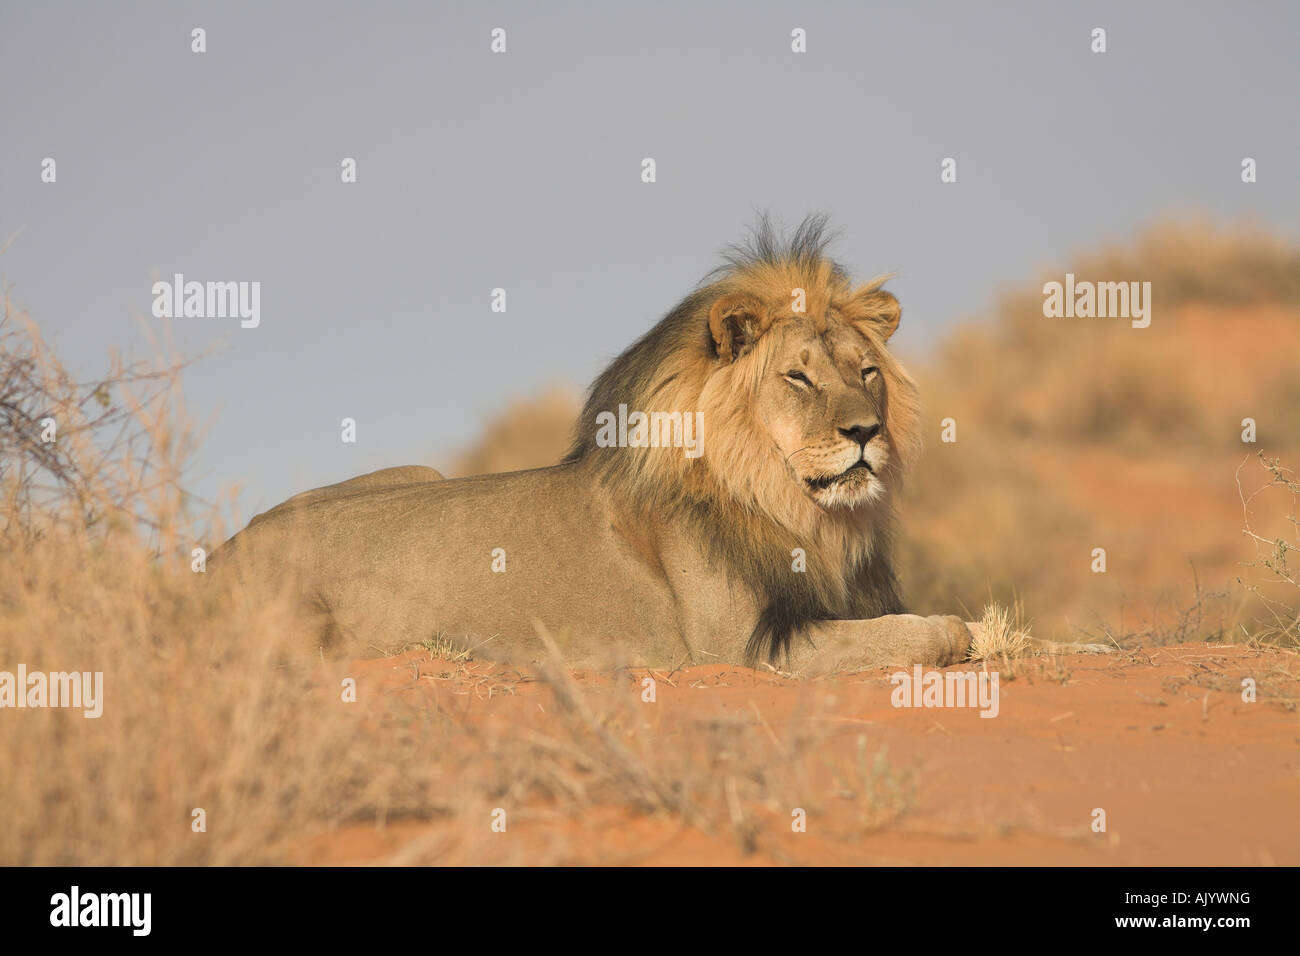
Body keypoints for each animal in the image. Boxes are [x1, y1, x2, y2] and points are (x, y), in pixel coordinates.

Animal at [212, 217, 1101, 671]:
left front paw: (1074, 638)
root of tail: (212, 561)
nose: (865, 433)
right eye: (799, 378)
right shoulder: (742, 646)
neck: (802, 512)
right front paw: (974, 635)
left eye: (867, 373)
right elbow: (937, 630)